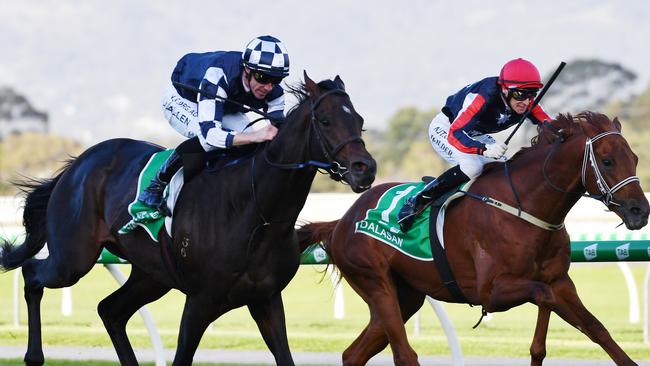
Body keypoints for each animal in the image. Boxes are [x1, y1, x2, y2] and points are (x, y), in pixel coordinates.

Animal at [0, 72, 374, 366]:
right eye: (325, 121)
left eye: (359, 120)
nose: (365, 169)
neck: (257, 211)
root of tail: (76, 165)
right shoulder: (200, 301)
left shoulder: (266, 299)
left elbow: (285, 356)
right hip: (73, 259)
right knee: (33, 274)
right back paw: (33, 356)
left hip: (152, 274)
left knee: (110, 310)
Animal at [298, 112, 648, 366]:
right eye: (607, 161)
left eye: (634, 157)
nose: (640, 211)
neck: (523, 205)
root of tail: (342, 221)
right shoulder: (491, 292)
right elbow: (543, 296)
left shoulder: (561, 280)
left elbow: (597, 329)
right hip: (376, 283)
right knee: (403, 354)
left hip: (405, 295)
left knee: (352, 354)